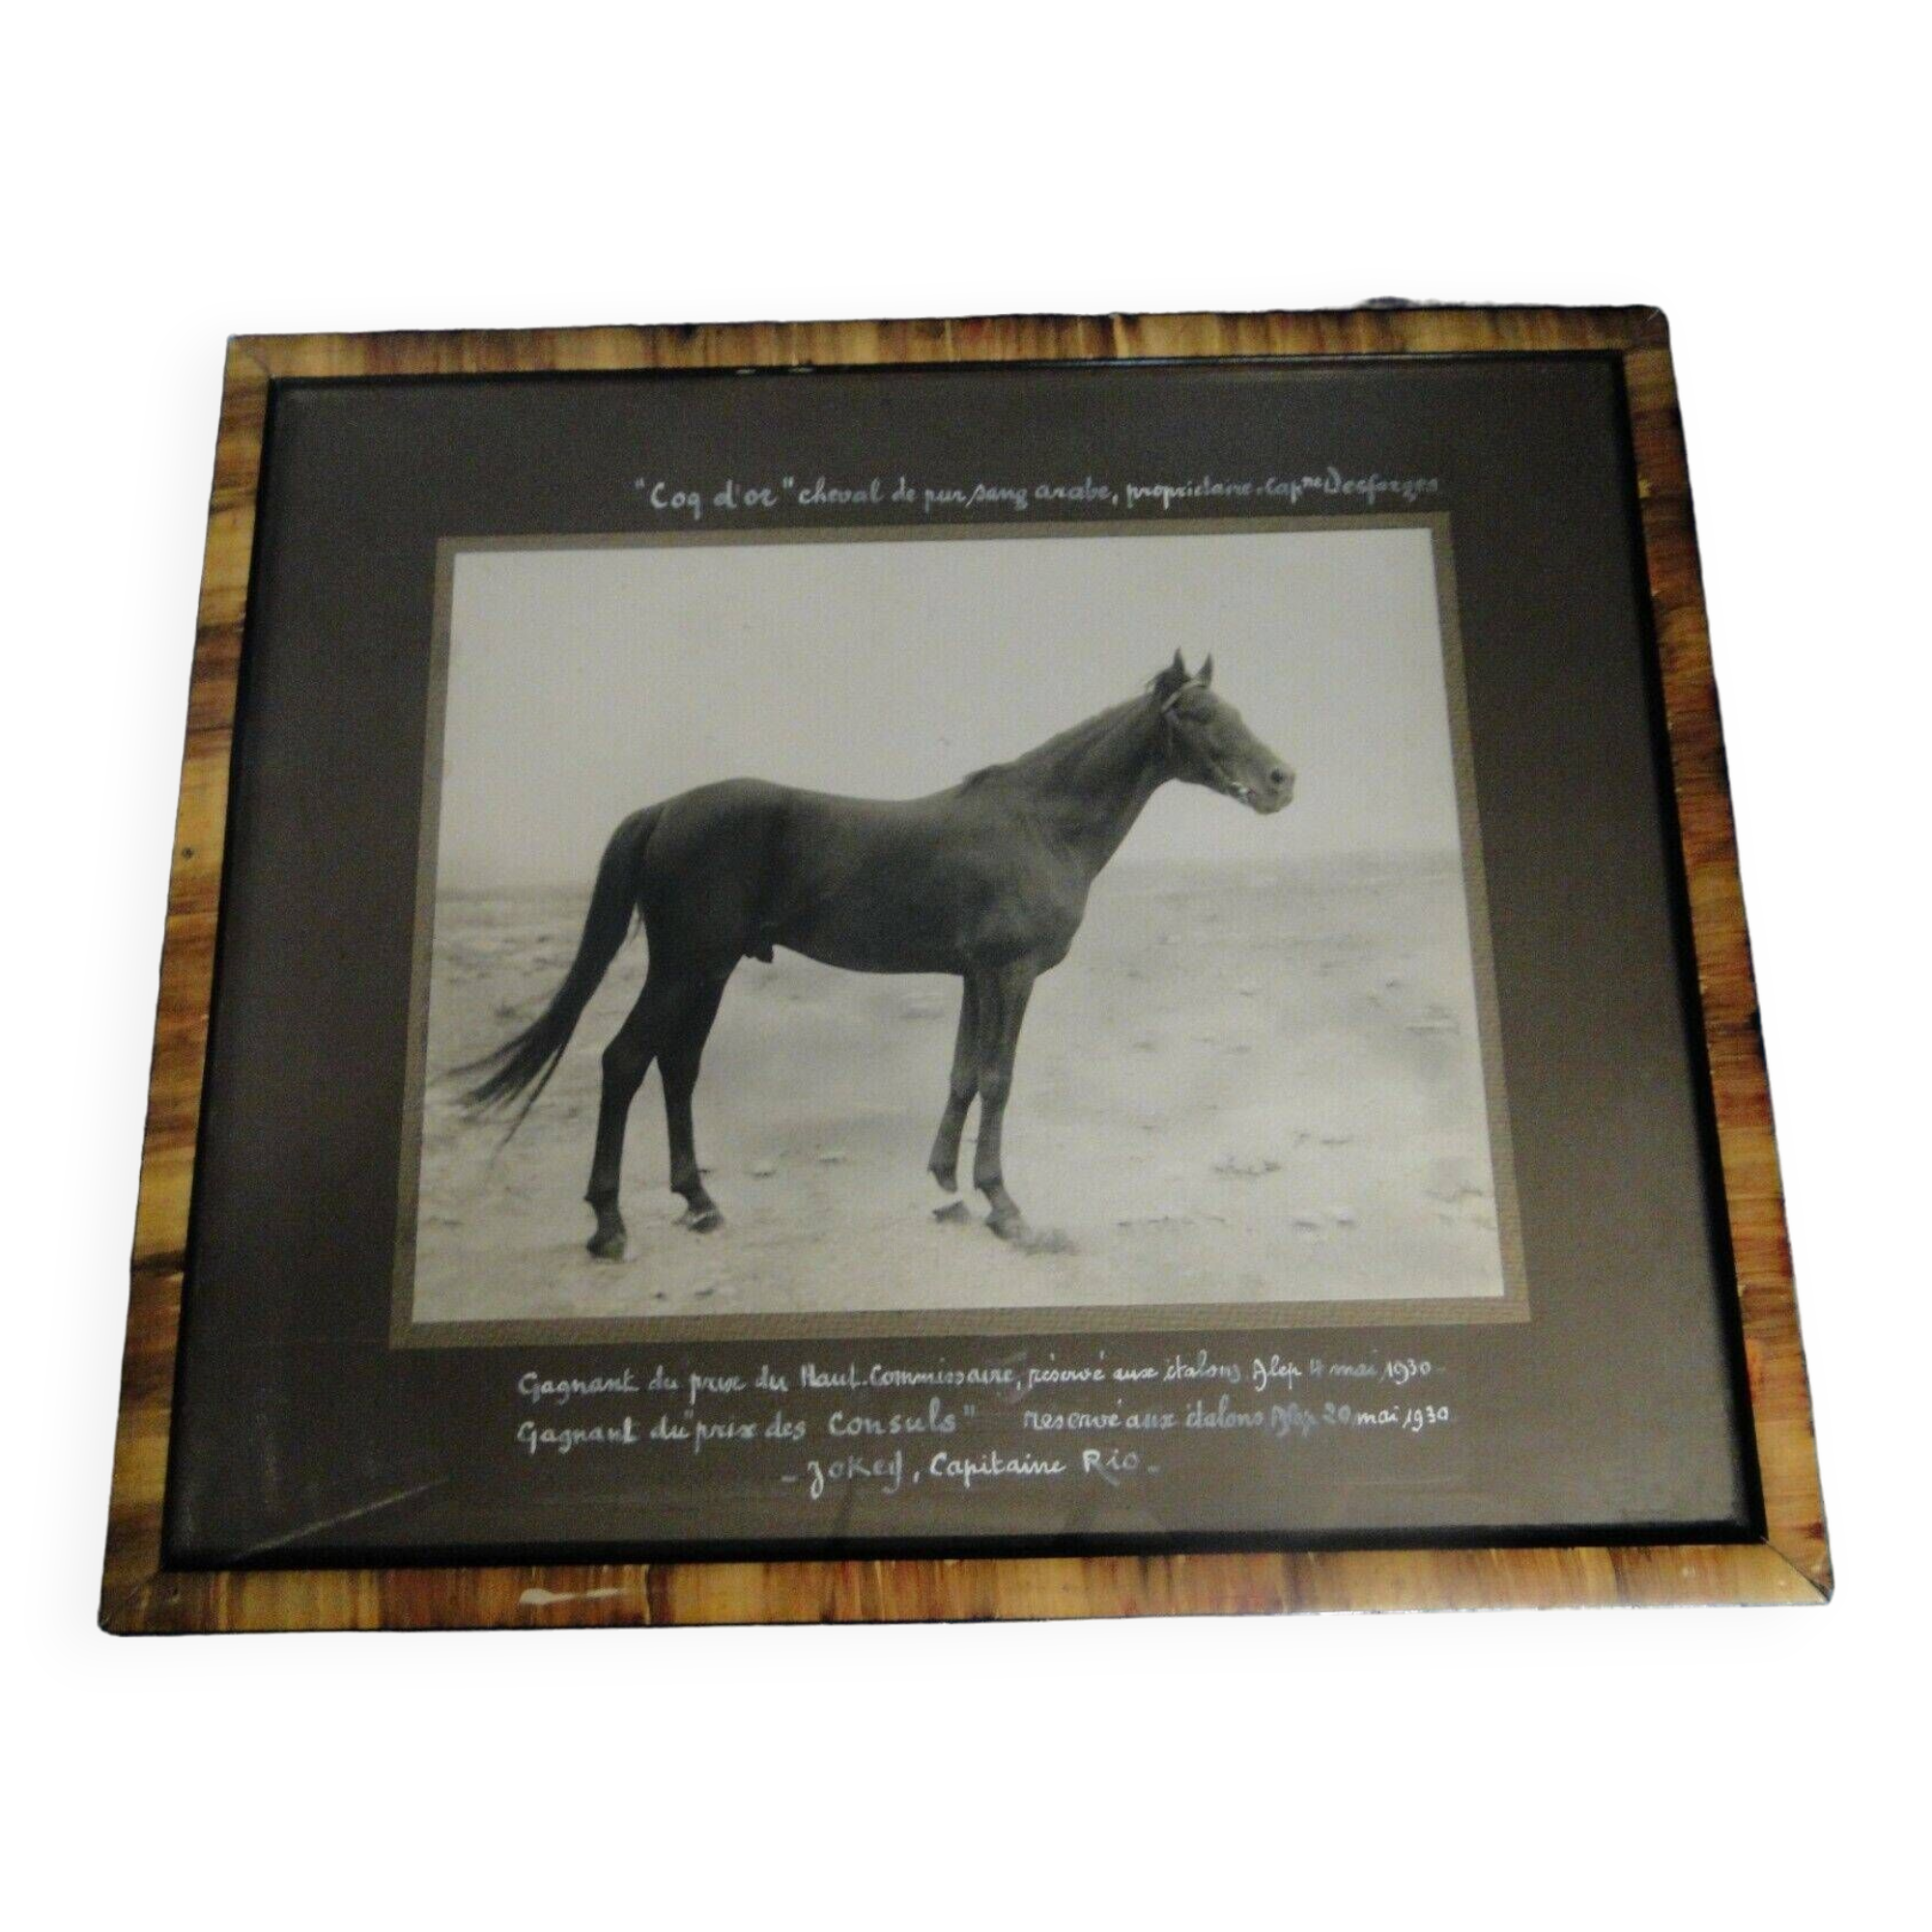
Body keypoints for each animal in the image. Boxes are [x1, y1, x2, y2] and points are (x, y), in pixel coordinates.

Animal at [462, 651, 1294, 1259]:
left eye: (1237, 711)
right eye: (1198, 714)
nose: (1281, 781)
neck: (1042, 823)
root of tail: (664, 811)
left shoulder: (974, 976)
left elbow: (963, 1075)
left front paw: (947, 1184)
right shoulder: (1011, 974)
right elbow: (999, 1080)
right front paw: (1006, 1208)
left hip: (710, 971)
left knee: (679, 1067)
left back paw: (700, 1203)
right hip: (682, 969)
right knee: (625, 1061)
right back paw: (609, 1225)